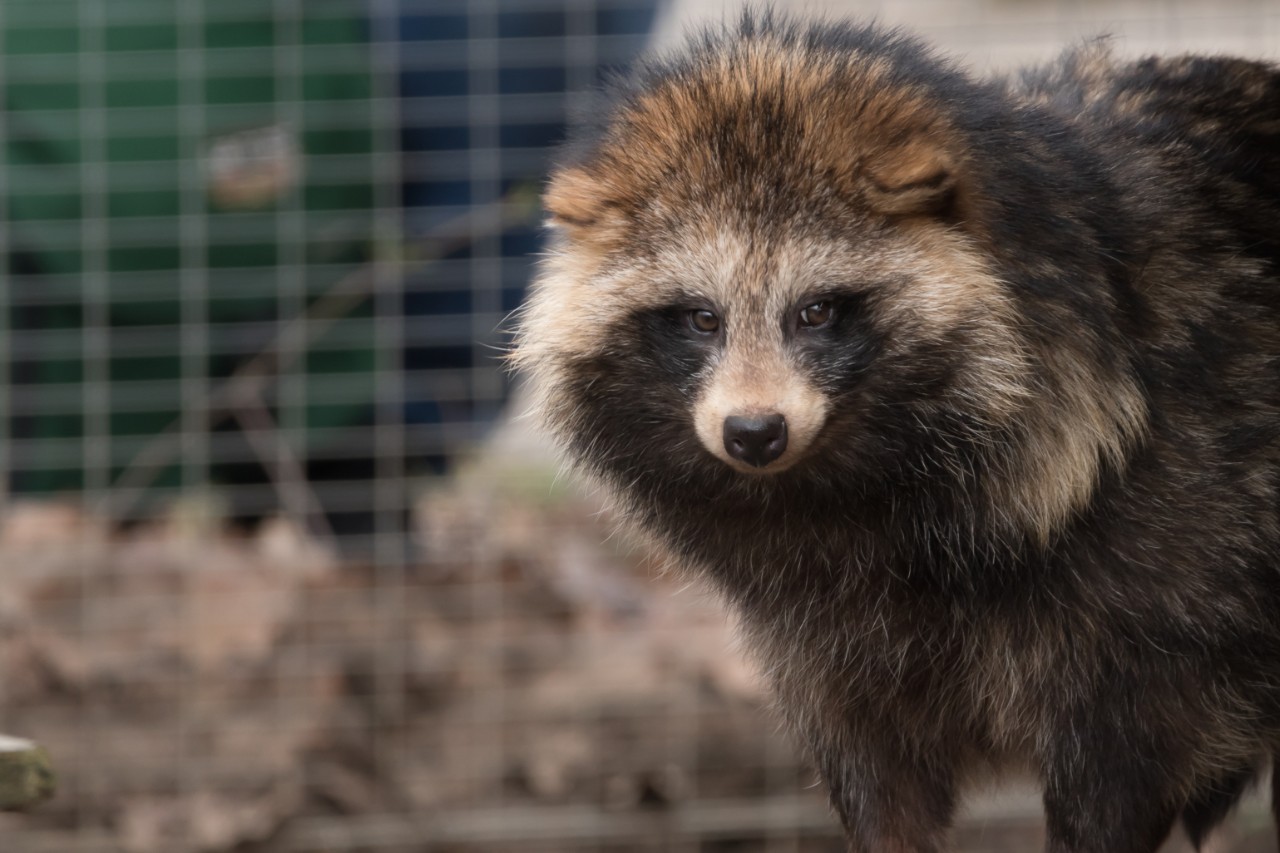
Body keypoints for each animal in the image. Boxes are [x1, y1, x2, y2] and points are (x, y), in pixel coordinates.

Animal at [512, 12, 1280, 853]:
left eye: (816, 311)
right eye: (700, 318)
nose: (754, 432)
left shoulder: (1147, 662)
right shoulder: (835, 666)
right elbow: (883, 802)